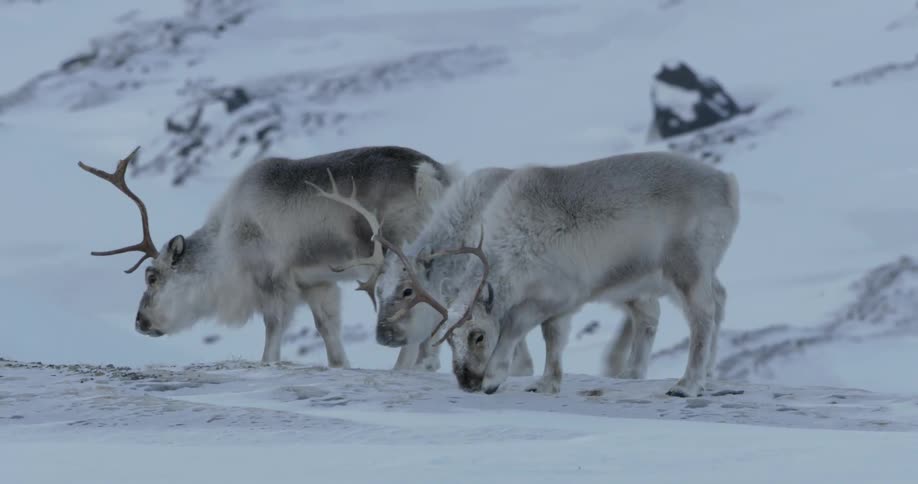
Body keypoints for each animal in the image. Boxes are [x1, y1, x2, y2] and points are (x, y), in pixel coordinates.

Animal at [77, 145, 458, 366]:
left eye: (153, 276)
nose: (140, 322)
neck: (226, 247)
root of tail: (432, 175)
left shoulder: (272, 280)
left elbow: (273, 332)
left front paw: (267, 363)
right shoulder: (317, 283)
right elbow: (329, 333)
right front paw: (341, 365)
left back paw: (407, 367)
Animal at [339, 151, 739, 397]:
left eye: (478, 336)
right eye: (449, 340)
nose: (467, 382)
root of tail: (729, 184)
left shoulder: (559, 293)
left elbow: (519, 330)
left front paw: (498, 377)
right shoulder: (558, 304)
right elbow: (554, 339)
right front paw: (548, 383)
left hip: (685, 266)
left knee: (702, 315)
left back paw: (688, 383)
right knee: (713, 301)